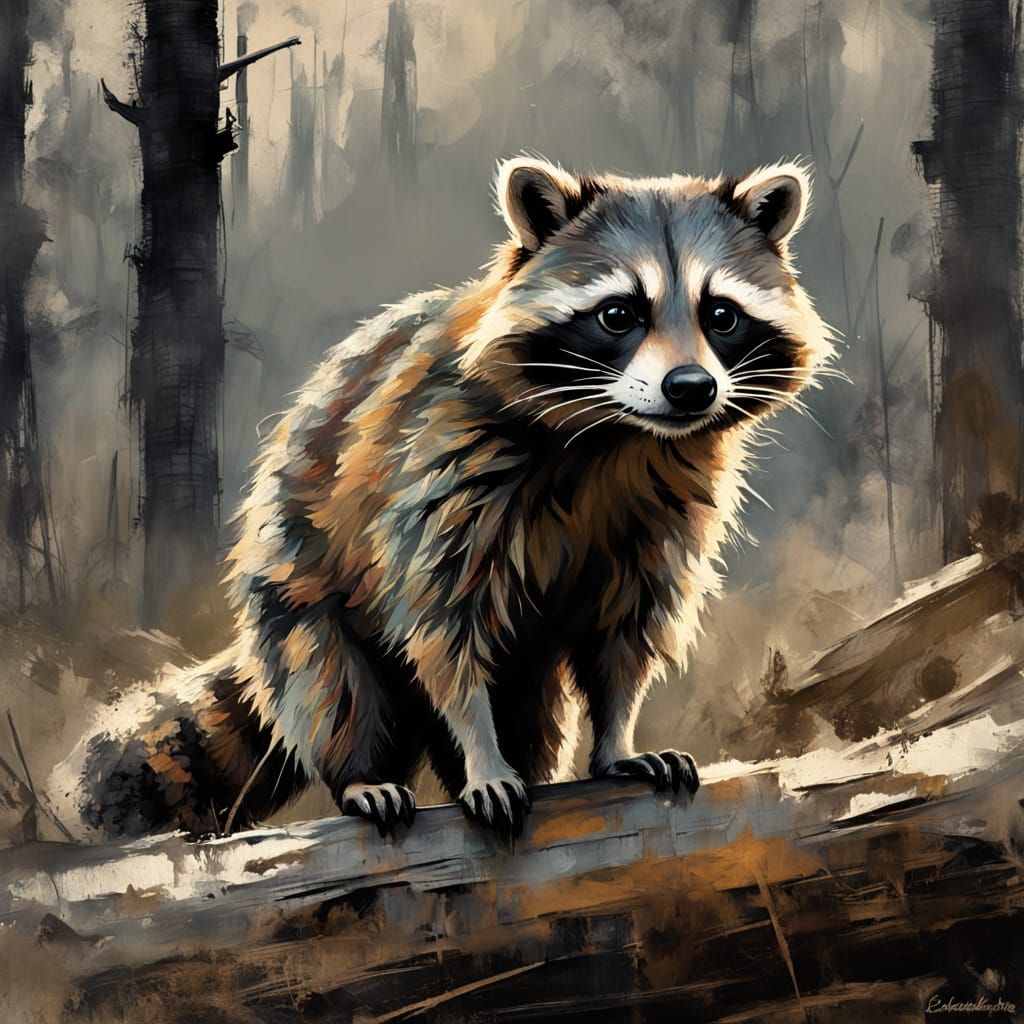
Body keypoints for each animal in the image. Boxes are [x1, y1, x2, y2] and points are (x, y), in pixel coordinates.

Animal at [62, 156, 834, 841]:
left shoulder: (663, 512)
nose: (691, 389)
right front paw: (480, 752)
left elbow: (627, 633)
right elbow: (442, 630)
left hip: (528, 665)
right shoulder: (441, 468)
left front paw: (616, 737)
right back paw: (360, 774)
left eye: (721, 315)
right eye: (620, 314)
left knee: (532, 712)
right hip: (293, 591)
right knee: (329, 682)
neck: (617, 436)